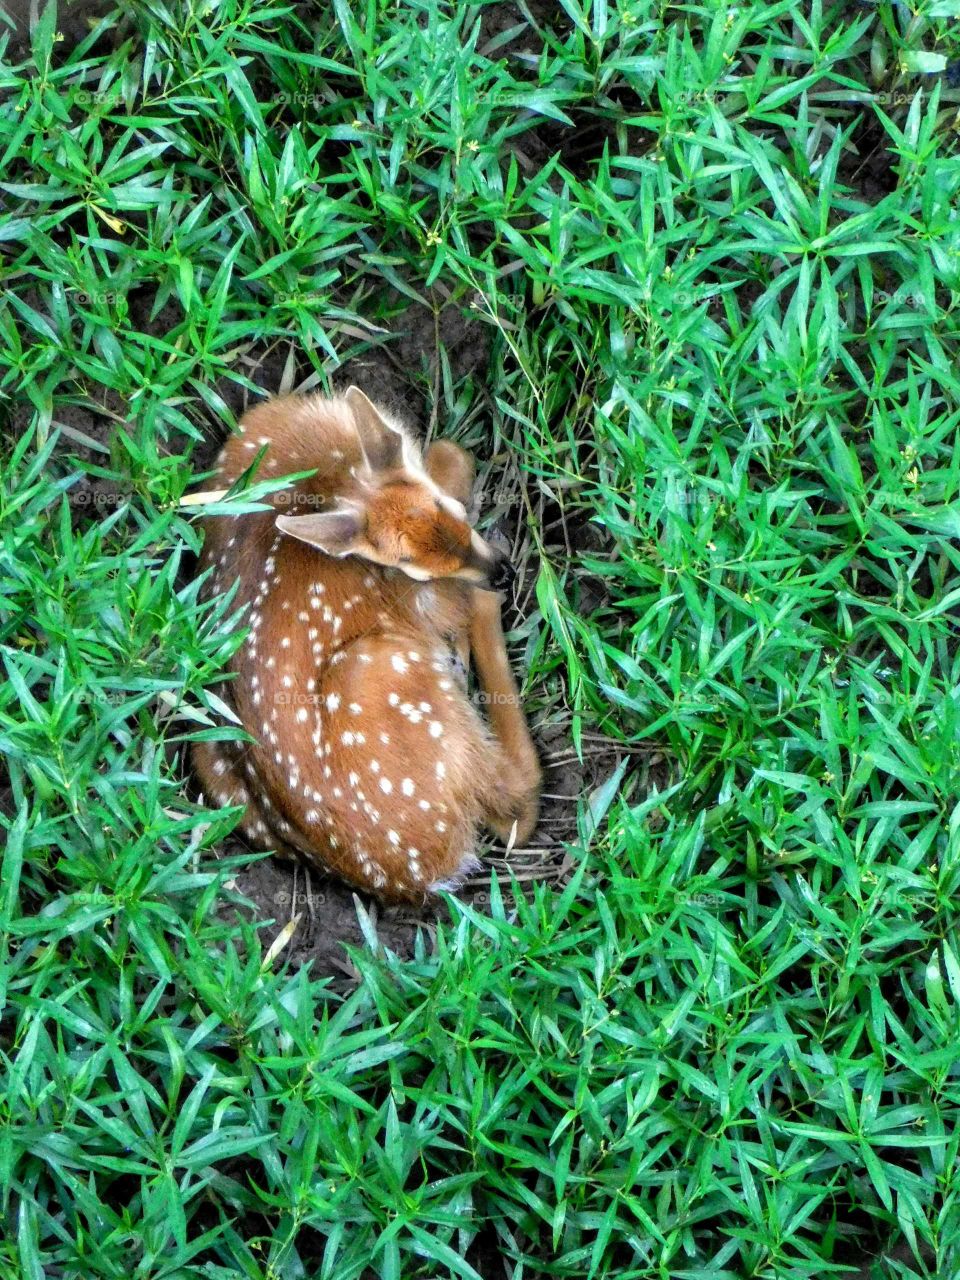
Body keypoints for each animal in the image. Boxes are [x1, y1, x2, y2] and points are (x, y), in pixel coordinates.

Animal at [192, 386, 541, 903]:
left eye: (457, 515)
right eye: (415, 570)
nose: (503, 573)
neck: (327, 473)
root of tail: (421, 876)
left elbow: (447, 452)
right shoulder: (415, 600)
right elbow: (450, 454)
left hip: (209, 755)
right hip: (384, 668)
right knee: (516, 806)